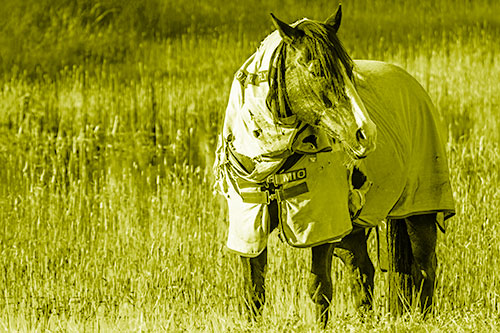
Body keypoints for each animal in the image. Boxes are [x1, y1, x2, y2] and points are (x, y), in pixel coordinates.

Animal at [213, 4, 456, 326]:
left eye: (350, 70)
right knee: (362, 270)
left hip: (419, 212)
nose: (365, 133)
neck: (273, 157)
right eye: (316, 70)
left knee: (426, 267)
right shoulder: (250, 224)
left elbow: (319, 287)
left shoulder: (322, 226)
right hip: (352, 230)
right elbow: (254, 291)